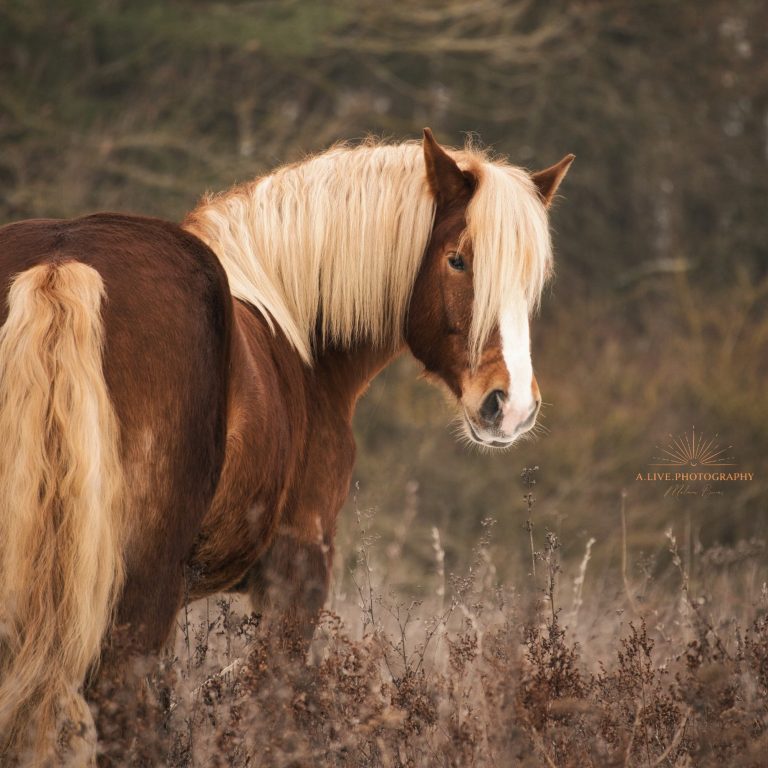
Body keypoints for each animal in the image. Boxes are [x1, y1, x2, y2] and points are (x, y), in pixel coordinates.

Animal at [0, 129, 572, 762]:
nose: (509, 406)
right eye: (458, 258)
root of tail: (61, 262)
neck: (299, 342)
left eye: (532, 279)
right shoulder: (297, 575)